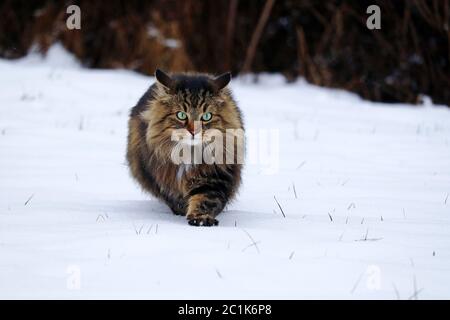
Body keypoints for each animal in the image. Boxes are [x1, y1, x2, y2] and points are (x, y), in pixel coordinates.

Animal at [126, 69, 246, 226]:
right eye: (181, 115)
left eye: (206, 116)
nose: (194, 131)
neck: (189, 154)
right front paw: (183, 212)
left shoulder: (214, 177)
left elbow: (205, 199)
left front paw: (200, 218)